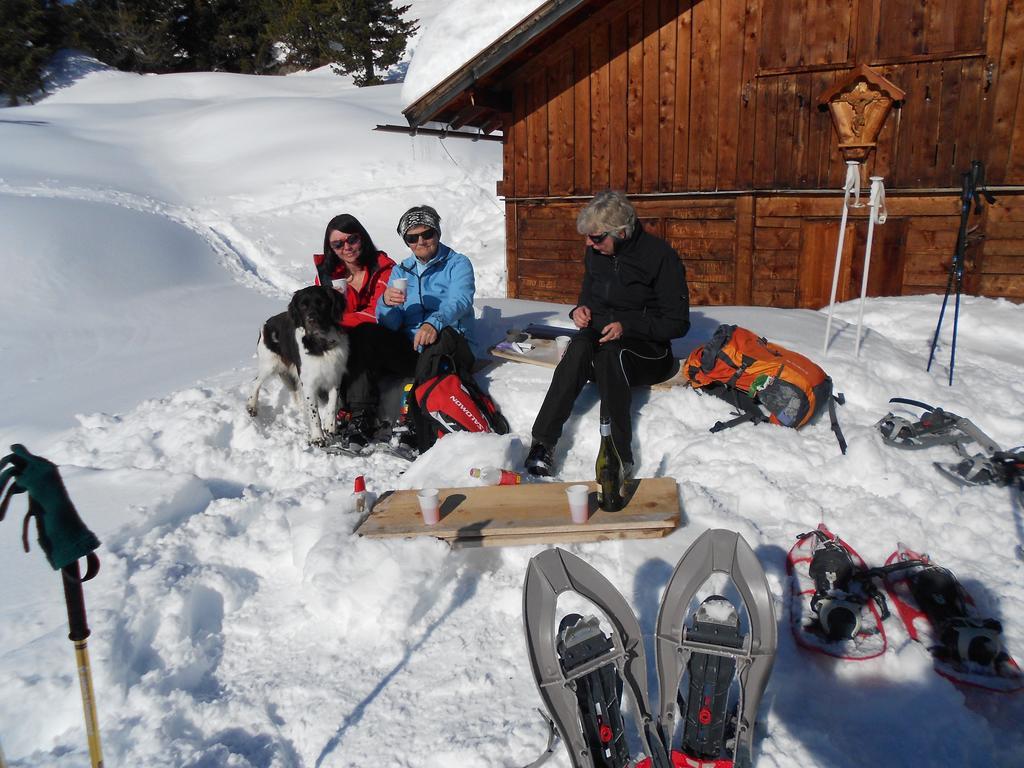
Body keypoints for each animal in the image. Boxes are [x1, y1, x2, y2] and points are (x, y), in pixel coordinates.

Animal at [246, 286, 348, 444]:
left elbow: (332, 404)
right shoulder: (309, 382)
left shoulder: (335, 377)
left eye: (322, 303)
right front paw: (317, 437)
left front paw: (330, 426)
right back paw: (252, 406)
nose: (311, 320)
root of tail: (267, 323)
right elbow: (314, 412)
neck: (320, 344)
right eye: (303, 306)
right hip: (269, 364)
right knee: (256, 382)